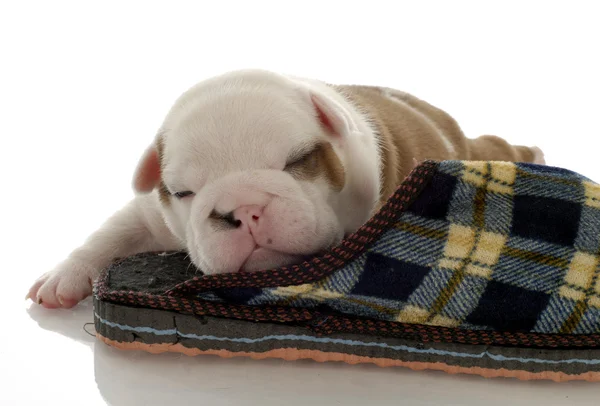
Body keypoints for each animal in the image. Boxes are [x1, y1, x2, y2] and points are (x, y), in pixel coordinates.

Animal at [27, 69, 544, 308]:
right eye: (183, 192)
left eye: (297, 161)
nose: (241, 209)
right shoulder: (155, 214)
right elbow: (114, 231)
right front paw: (64, 276)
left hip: (469, 145)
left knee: (495, 147)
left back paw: (530, 152)